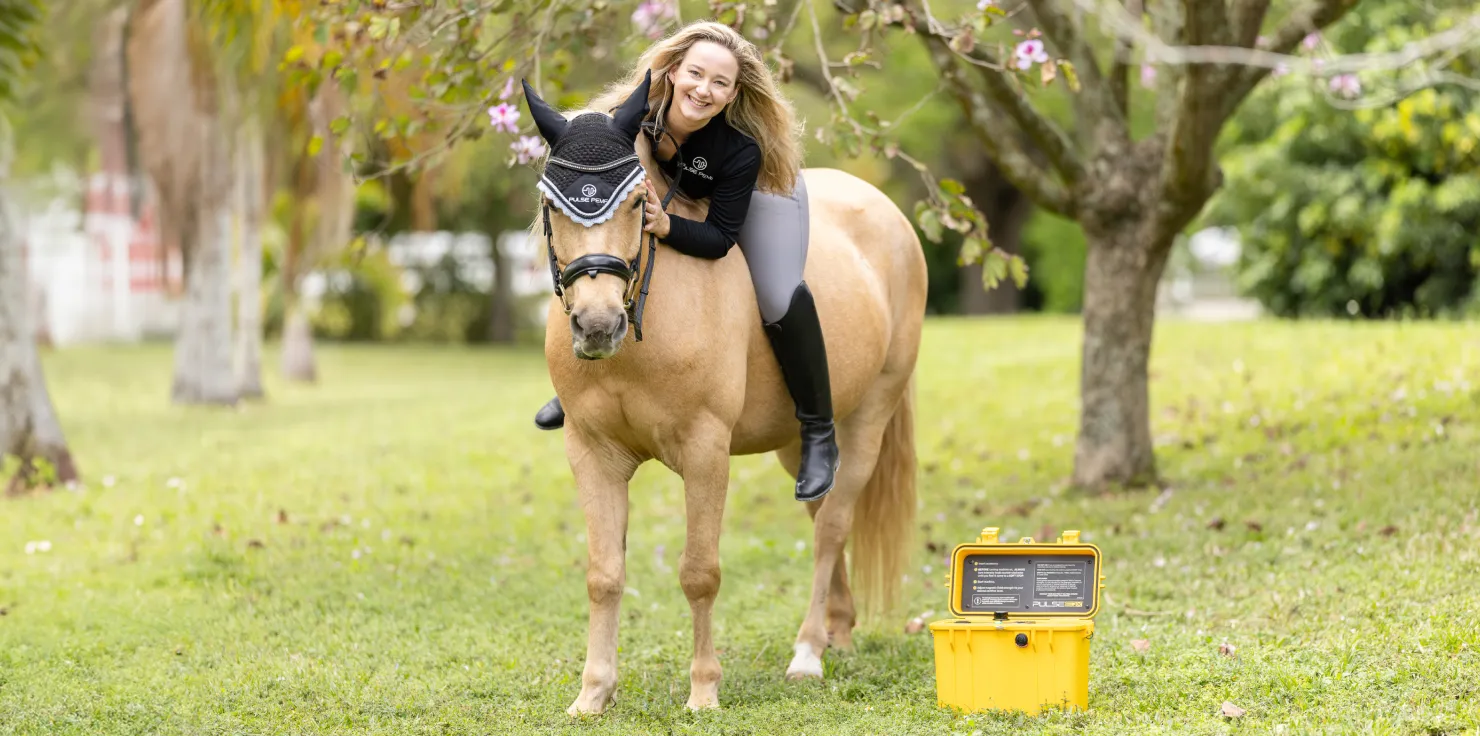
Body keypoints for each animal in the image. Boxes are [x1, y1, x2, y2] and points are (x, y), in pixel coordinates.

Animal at [521, 75, 928, 715]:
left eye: (636, 204)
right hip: (799, 443)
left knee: (832, 527)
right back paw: (836, 631)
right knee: (821, 507)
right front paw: (593, 693)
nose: (597, 326)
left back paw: (808, 653)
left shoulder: (705, 451)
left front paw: (703, 691)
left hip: (869, 417)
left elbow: (700, 573)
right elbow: (604, 574)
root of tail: (886, 211)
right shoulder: (592, 452)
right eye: (550, 205)